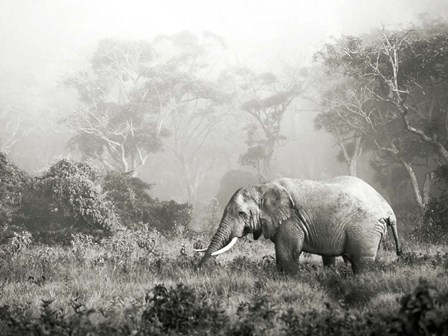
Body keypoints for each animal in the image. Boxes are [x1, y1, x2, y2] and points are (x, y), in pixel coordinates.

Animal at [196, 176, 402, 272]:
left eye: (241, 213)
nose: (197, 269)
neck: (262, 187)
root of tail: (388, 209)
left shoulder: (291, 220)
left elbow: (287, 253)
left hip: (365, 228)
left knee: (361, 262)